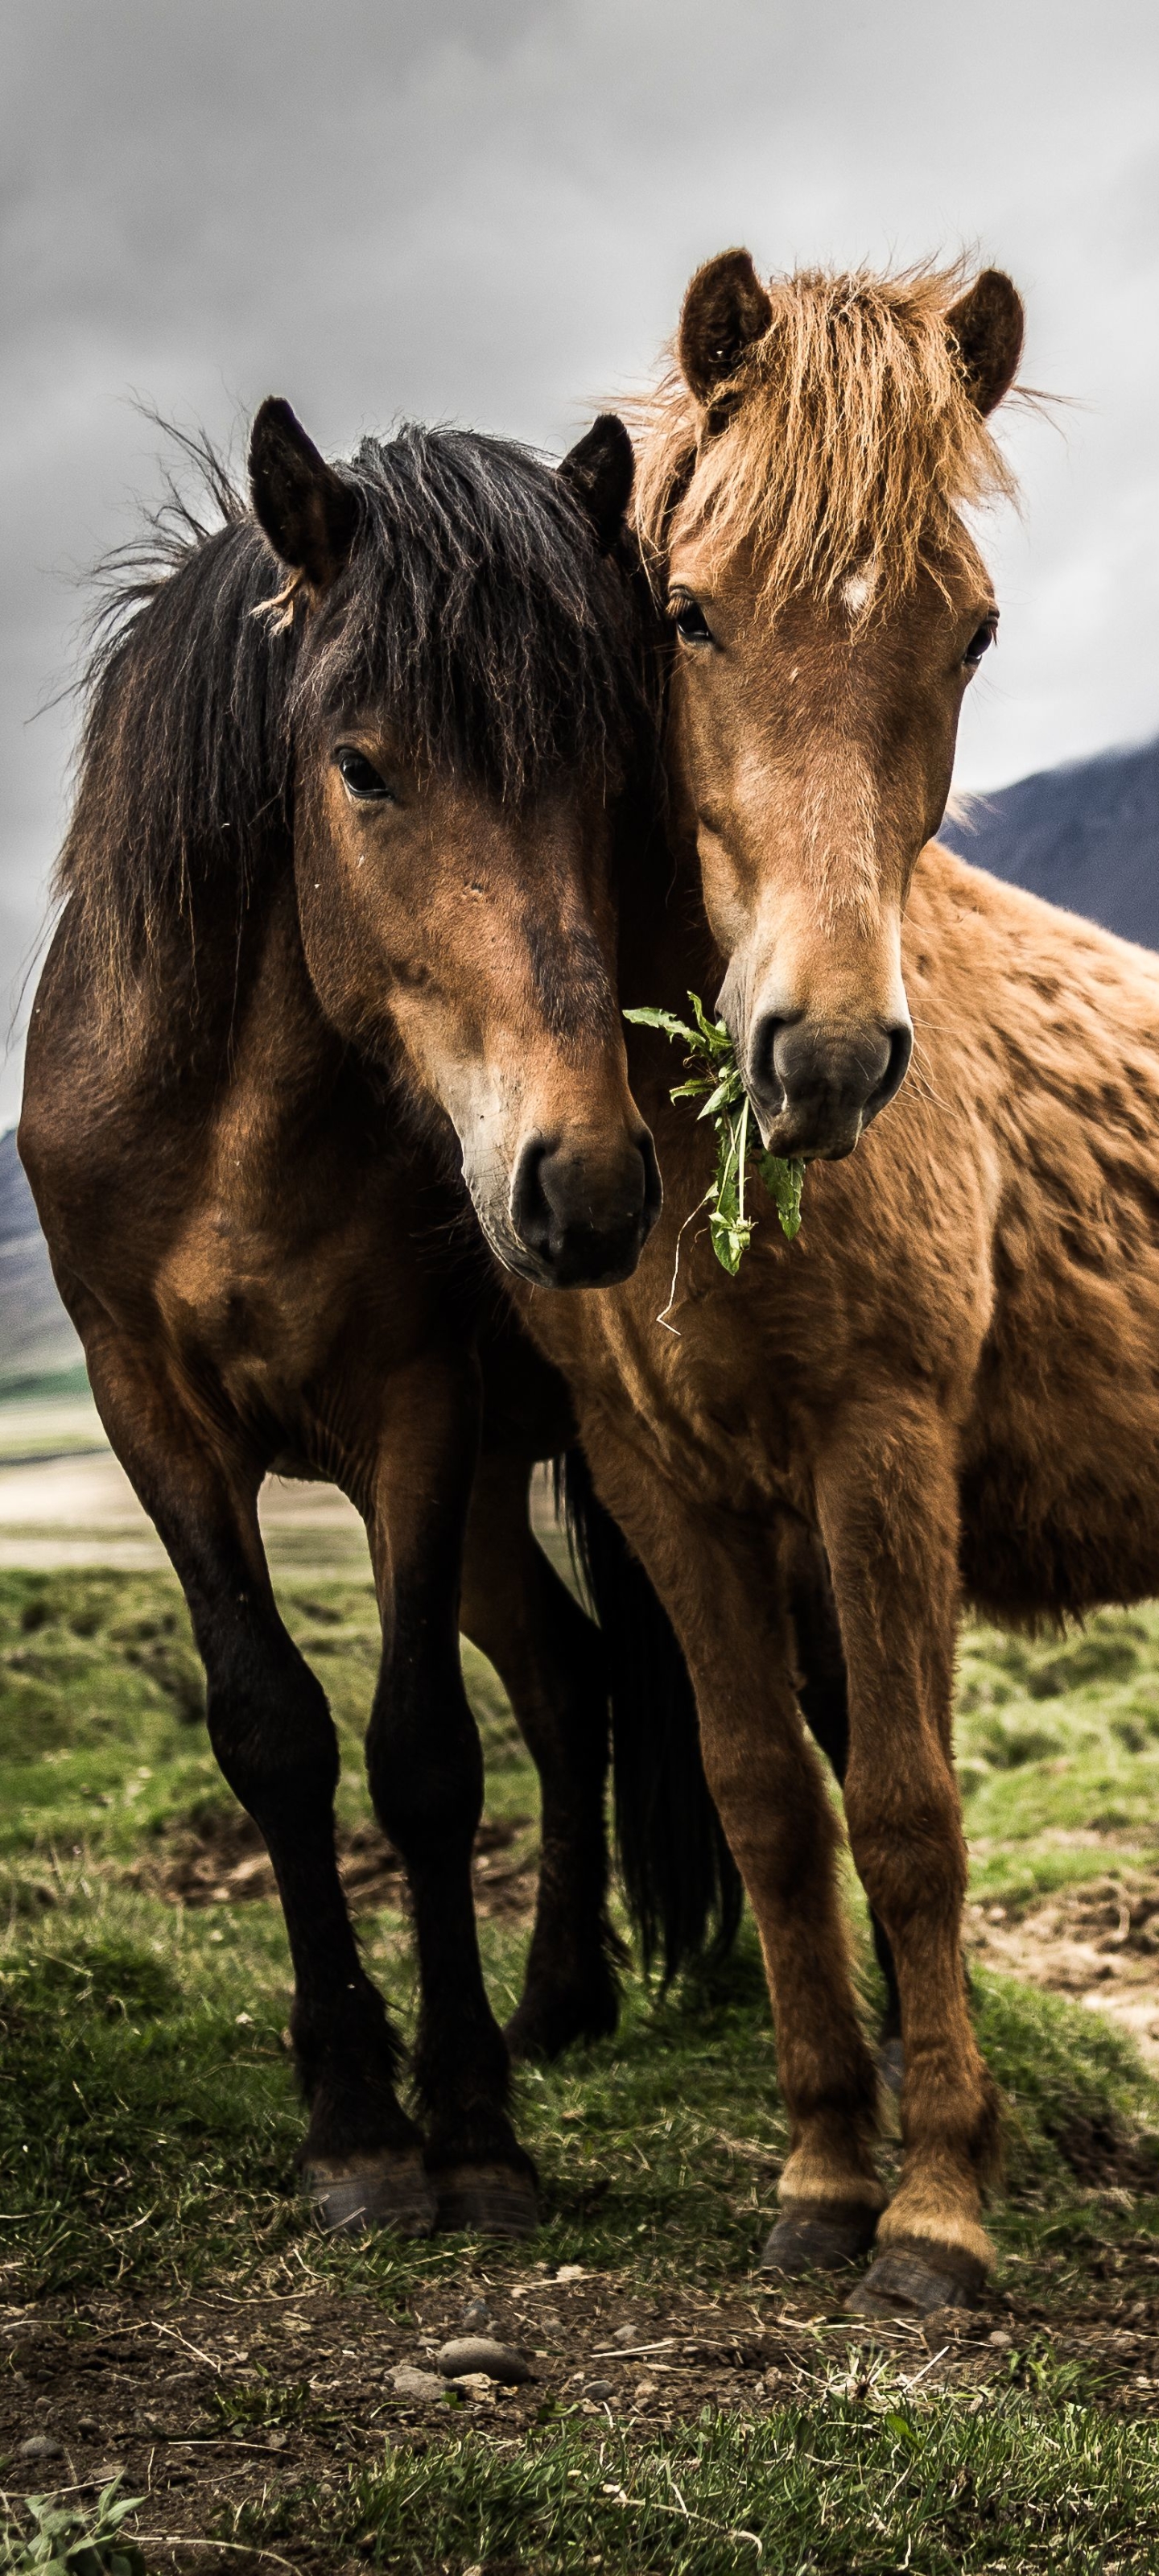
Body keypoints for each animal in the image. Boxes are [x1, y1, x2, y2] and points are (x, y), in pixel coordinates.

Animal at [23, 391, 664, 2246]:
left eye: (611, 770)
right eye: (362, 766)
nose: (585, 1187)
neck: (230, 1129)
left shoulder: (415, 1413)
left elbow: (423, 1753)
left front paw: (469, 2130)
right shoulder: (148, 1418)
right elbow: (275, 1732)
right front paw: (356, 2119)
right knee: (572, 1675)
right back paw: (565, 2000)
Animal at [509, 256, 1149, 2318]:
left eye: (972, 632)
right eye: (690, 616)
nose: (831, 1061)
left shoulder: (883, 1455)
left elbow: (911, 1814)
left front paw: (936, 2211)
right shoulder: (667, 1483)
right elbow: (772, 1805)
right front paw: (815, 2173)